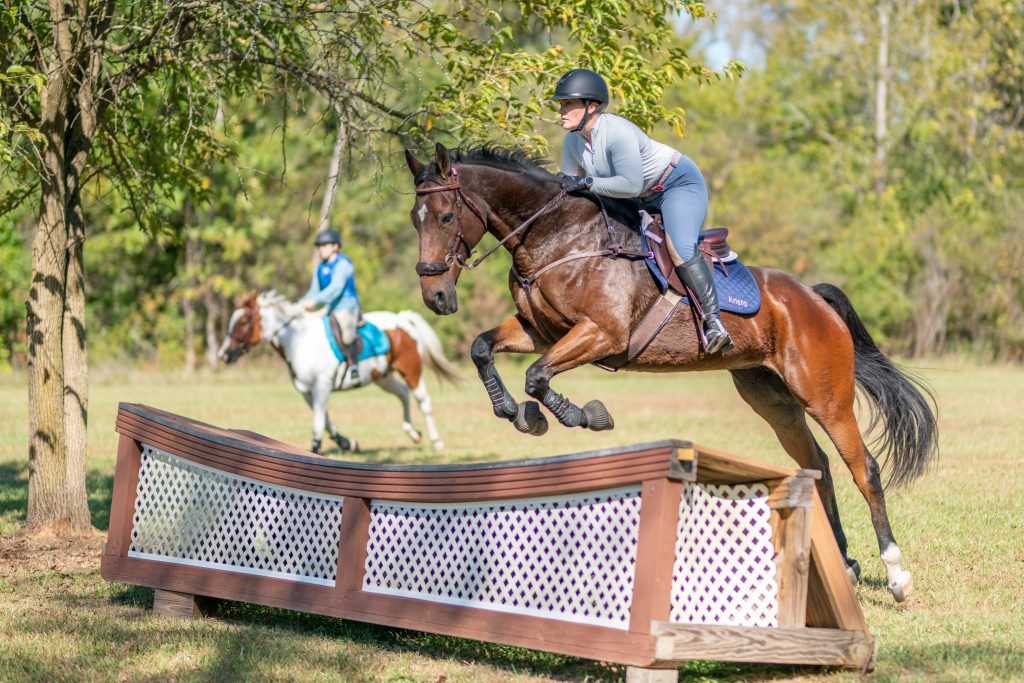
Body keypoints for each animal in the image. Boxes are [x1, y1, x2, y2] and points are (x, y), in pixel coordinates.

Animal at [219, 291, 460, 454]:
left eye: (243, 321)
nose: (224, 355)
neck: (298, 341)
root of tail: (401, 319)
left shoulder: (322, 386)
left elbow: (317, 424)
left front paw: (316, 451)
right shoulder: (307, 391)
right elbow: (324, 420)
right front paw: (347, 443)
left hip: (411, 370)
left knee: (423, 401)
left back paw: (436, 441)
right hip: (382, 376)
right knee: (402, 394)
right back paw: (413, 433)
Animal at [404, 143, 938, 603]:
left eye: (447, 216)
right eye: (415, 219)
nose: (436, 297)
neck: (557, 240)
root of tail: (812, 297)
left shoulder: (602, 333)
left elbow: (537, 376)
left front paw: (581, 416)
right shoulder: (541, 330)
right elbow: (483, 349)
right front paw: (515, 412)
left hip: (825, 396)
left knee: (864, 469)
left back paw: (896, 575)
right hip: (774, 402)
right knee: (819, 465)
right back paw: (844, 563)